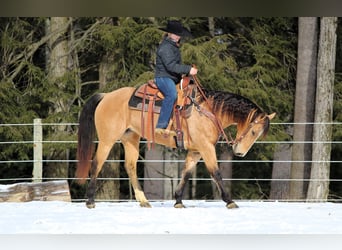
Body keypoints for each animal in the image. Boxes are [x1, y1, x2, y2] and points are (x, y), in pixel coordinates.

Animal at [75, 78, 276, 209]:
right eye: (253, 131)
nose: (240, 152)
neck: (207, 112)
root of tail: (106, 96)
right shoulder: (206, 148)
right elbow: (216, 173)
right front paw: (229, 200)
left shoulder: (196, 151)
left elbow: (186, 174)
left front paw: (178, 200)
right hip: (107, 140)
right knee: (96, 164)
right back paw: (90, 201)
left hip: (130, 138)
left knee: (130, 166)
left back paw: (143, 201)